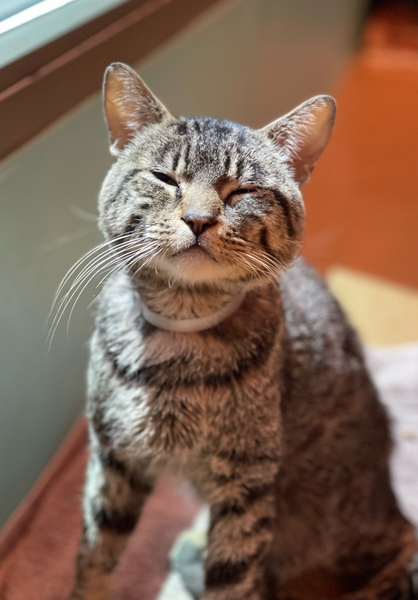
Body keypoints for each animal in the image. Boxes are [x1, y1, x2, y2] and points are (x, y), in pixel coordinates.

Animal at [68, 64, 414, 600]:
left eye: (242, 192)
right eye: (165, 177)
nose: (198, 219)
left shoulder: (246, 484)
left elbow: (232, 579)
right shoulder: (114, 460)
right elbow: (93, 560)